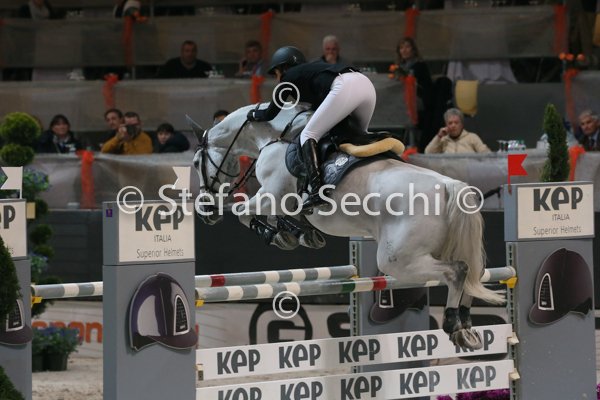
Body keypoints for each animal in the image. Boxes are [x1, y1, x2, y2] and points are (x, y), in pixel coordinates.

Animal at [191, 104, 505, 350]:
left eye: (195, 162)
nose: (206, 210)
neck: (273, 137)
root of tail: (450, 186)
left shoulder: (272, 196)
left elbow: (243, 213)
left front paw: (279, 235)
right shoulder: (281, 201)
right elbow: (288, 219)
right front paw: (301, 233)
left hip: (398, 260)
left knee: (458, 271)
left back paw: (454, 324)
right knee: (471, 272)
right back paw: (466, 326)